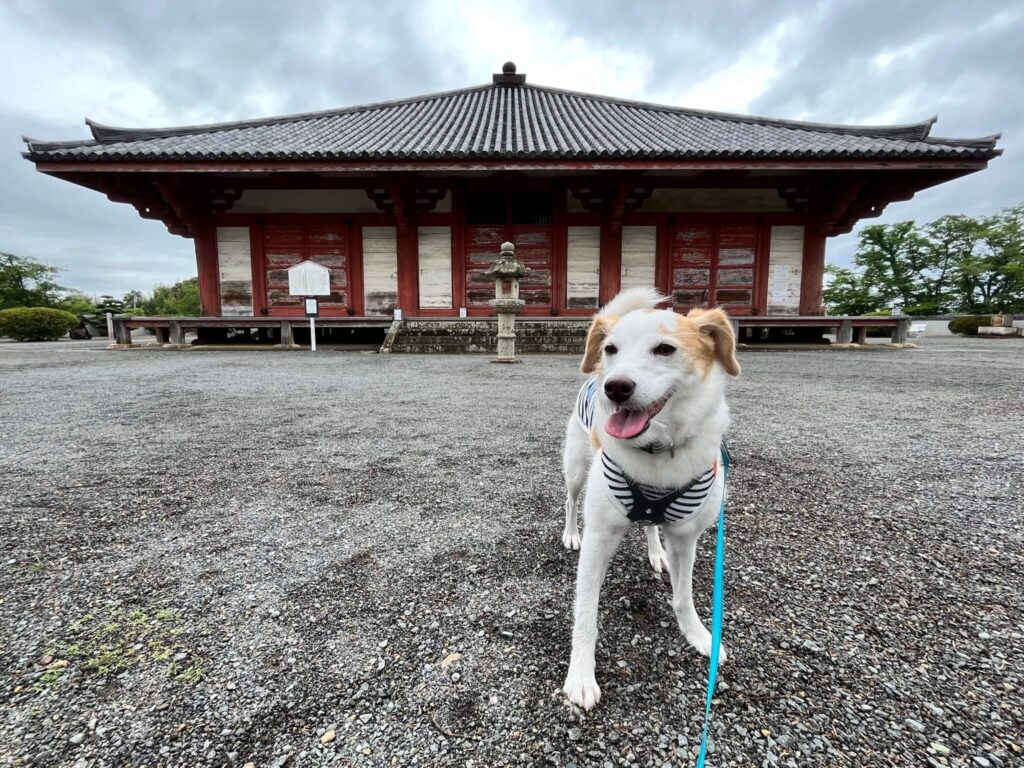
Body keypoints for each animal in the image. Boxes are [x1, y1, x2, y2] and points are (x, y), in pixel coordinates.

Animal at [565, 286, 741, 708]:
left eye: (665, 349)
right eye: (611, 349)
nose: (615, 387)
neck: (657, 450)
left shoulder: (686, 537)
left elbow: (684, 596)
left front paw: (699, 636)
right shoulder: (599, 538)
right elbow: (586, 612)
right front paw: (580, 675)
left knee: (649, 524)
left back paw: (655, 551)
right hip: (576, 468)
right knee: (570, 501)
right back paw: (569, 533)